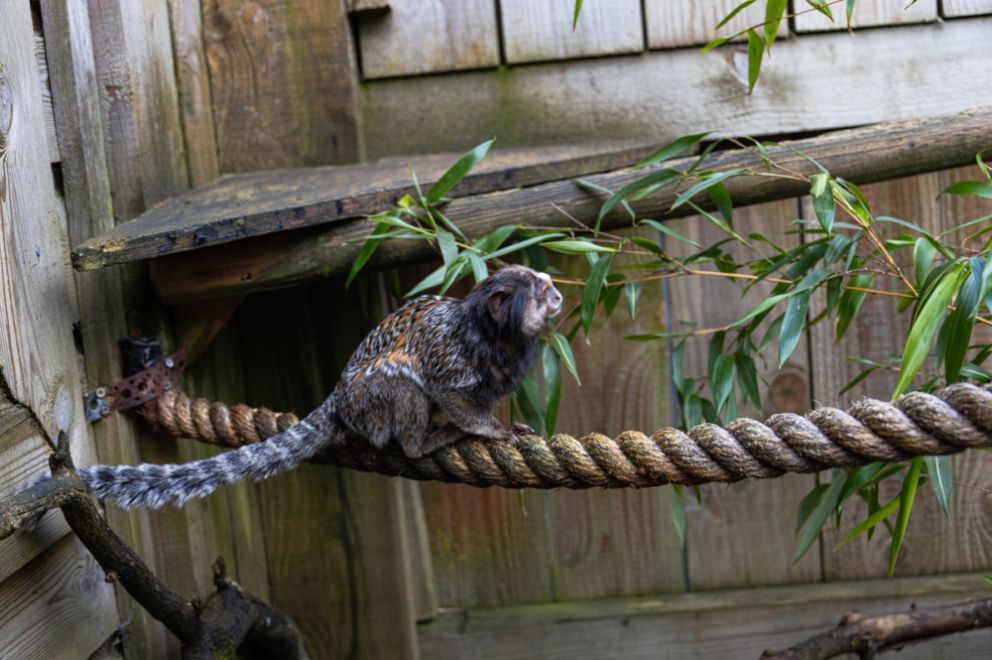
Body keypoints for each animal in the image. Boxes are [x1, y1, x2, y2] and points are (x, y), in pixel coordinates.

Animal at [74, 265, 563, 509]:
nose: (558, 296)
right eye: (542, 291)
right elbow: (447, 392)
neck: (495, 335)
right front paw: (494, 430)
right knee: (401, 382)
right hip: (369, 401)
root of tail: (338, 400)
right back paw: (423, 442)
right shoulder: (453, 359)